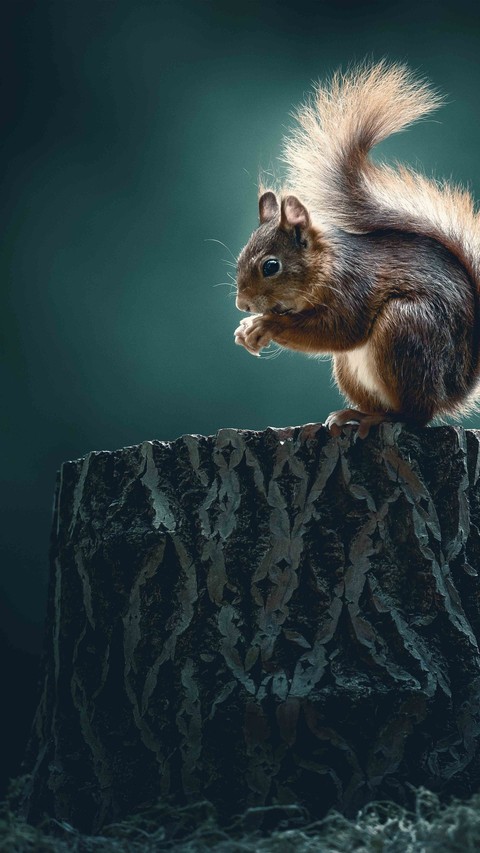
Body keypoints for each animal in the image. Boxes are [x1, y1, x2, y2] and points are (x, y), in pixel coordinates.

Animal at [234, 61, 480, 437]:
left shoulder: (354, 287)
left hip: (405, 329)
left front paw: (267, 325)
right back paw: (354, 413)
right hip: (349, 368)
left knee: (415, 415)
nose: (242, 304)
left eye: (270, 266)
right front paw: (247, 329)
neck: (326, 264)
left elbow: (339, 328)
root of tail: (455, 389)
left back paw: (378, 419)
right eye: (238, 261)